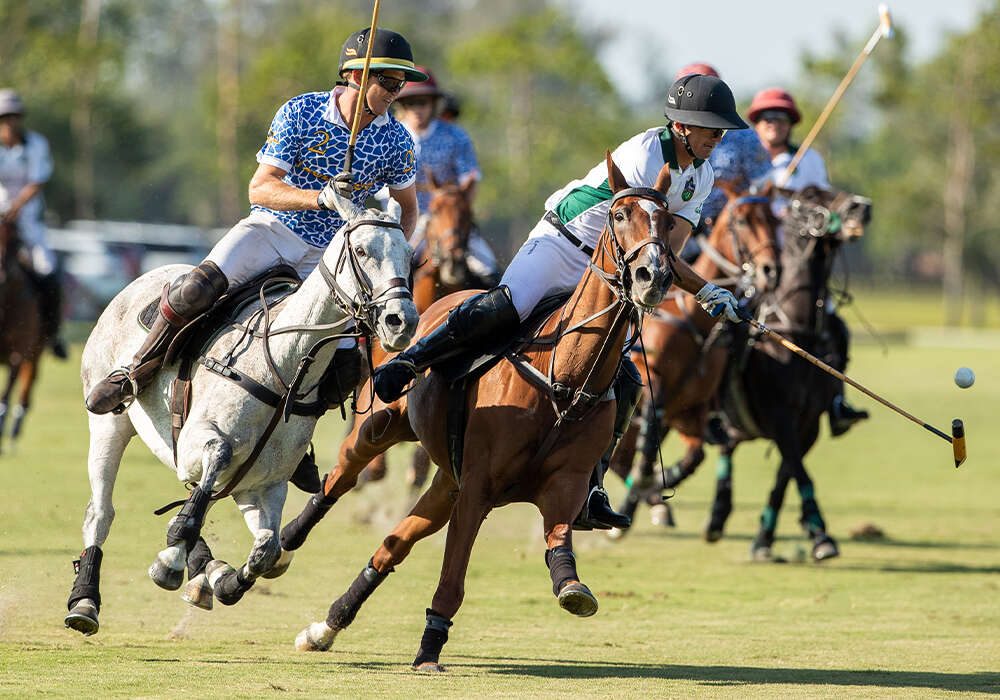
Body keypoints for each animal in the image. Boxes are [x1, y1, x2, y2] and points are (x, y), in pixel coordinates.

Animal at [288, 156, 680, 668]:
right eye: (618, 215)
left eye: (669, 222)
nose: (653, 277)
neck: (564, 377)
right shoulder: (477, 490)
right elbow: (452, 579)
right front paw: (429, 650)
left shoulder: (564, 486)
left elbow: (560, 545)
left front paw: (572, 587)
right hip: (382, 429)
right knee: (340, 480)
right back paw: (280, 548)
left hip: (446, 483)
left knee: (394, 544)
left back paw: (326, 626)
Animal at [604, 183, 784, 532]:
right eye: (741, 221)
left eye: (774, 219)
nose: (771, 271)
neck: (693, 324)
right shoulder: (653, 382)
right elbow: (649, 444)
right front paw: (647, 490)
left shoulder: (691, 410)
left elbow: (694, 457)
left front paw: (660, 485)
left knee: (623, 456)